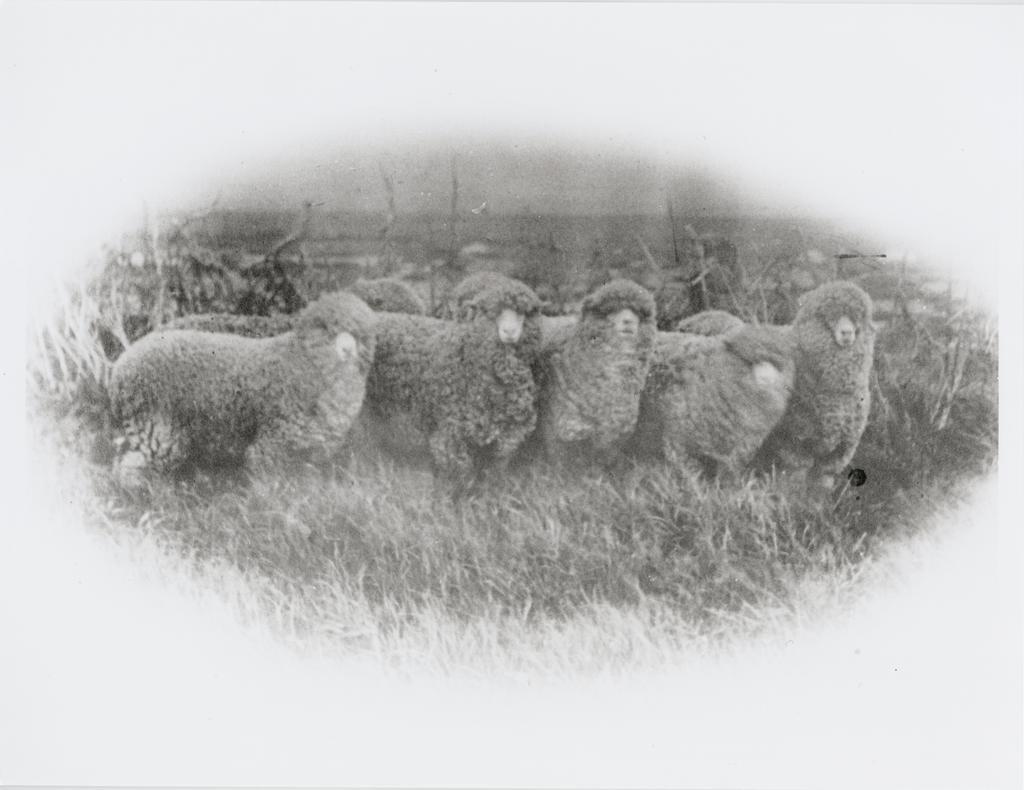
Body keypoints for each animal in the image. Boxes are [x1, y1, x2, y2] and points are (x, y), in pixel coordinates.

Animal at [109, 291, 377, 482]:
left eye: (360, 334)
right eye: (326, 329)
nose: (347, 350)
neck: (303, 361)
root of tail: (120, 367)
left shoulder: (309, 453)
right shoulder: (271, 447)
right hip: (157, 429)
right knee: (131, 470)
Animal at [361, 277, 543, 492]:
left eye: (523, 312)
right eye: (492, 312)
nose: (509, 331)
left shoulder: (505, 437)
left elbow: (492, 475)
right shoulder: (451, 433)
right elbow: (460, 477)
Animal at [756, 280, 876, 489]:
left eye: (857, 316)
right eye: (829, 315)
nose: (847, 332)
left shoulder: (836, 453)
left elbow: (820, 489)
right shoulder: (794, 445)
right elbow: (793, 485)